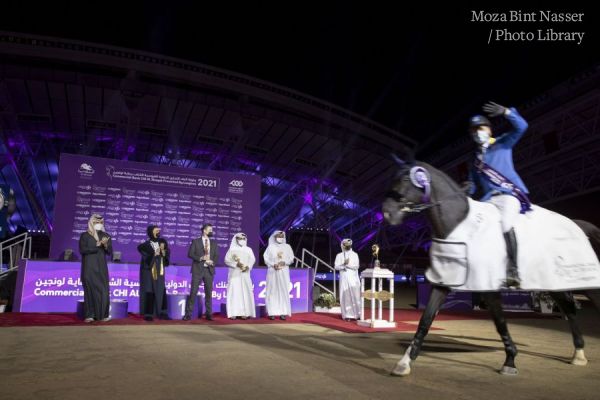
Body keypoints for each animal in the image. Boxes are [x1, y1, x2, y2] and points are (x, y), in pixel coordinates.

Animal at [382, 159, 596, 376]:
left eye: (406, 179)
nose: (387, 212)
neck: (460, 227)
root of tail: (575, 225)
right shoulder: (444, 282)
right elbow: (425, 321)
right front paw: (404, 362)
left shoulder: (489, 287)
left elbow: (500, 322)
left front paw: (510, 362)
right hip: (553, 283)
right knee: (569, 309)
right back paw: (578, 354)